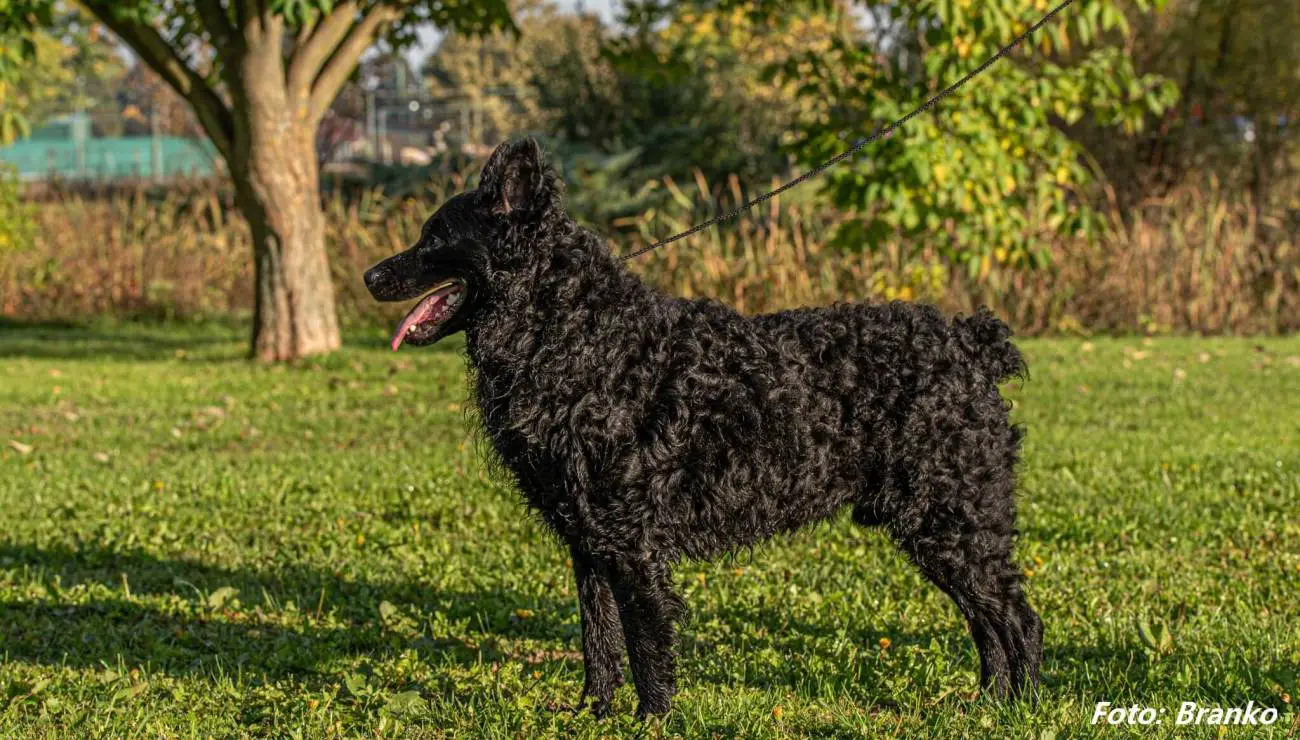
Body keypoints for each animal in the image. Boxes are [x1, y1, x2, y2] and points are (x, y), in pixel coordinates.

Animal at [366, 138, 1045, 717]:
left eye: (434, 237)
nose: (371, 276)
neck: (577, 333)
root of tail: (969, 343)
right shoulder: (589, 539)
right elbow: (598, 638)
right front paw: (594, 713)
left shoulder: (630, 540)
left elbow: (645, 643)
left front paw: (651, 719)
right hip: (945, 528)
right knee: (988, 625)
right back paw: (986, 707)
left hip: (951, 521)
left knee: (1019, 622)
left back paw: (1020, 711)